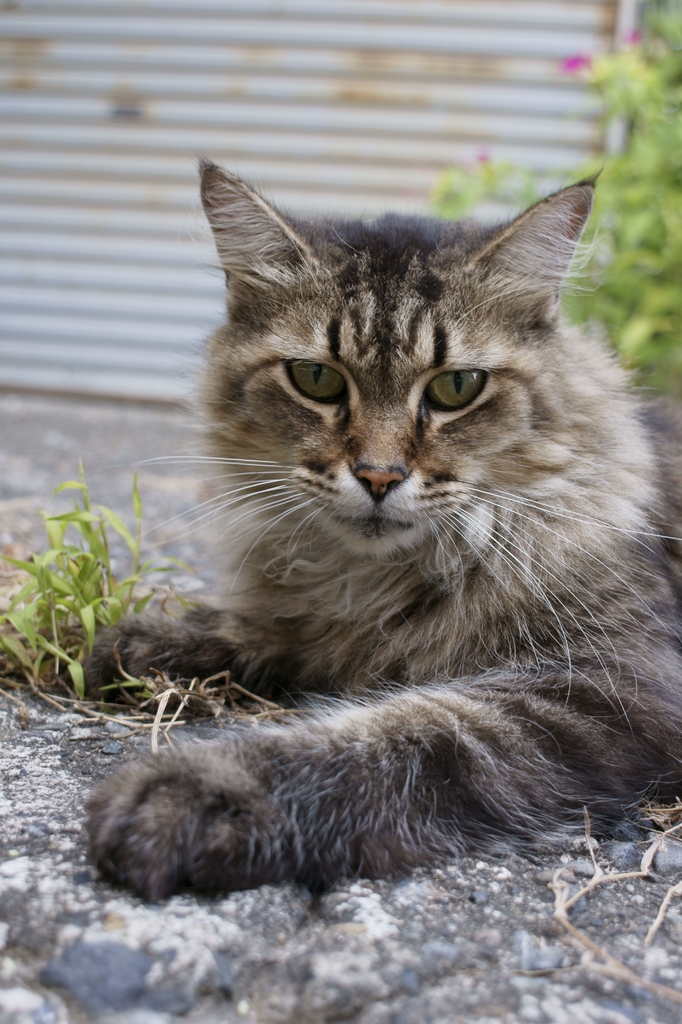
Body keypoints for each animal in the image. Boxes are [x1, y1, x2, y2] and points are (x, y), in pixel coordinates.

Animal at [83, 163, 679, 901]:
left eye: (458, 387)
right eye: (315, 378)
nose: (377, 475)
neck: (380, 575)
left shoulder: (607, 686)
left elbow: (405, 737)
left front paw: (197, 791)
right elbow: (269, 624)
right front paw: (149, 643)